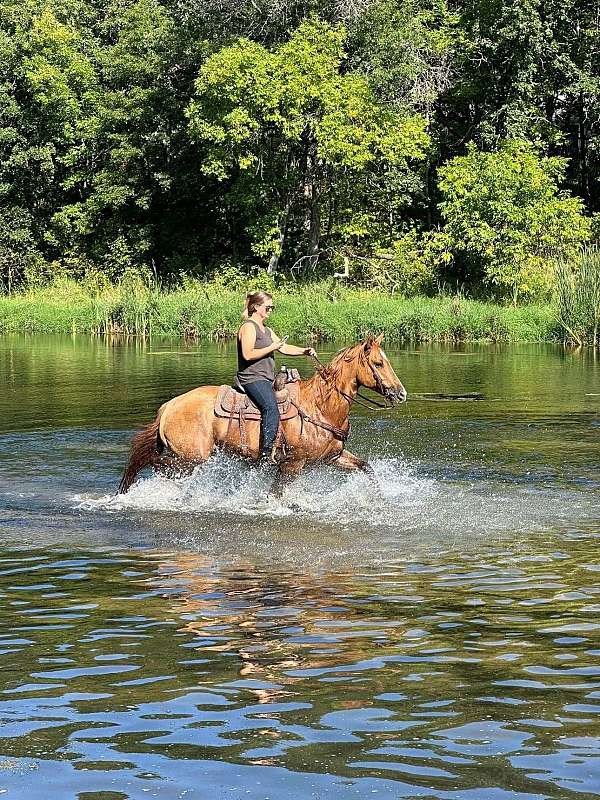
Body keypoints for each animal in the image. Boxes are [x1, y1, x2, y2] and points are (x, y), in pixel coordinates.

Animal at [118, 334, 407, 497]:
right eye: (378, 363)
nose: (401, 394)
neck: (320, 407)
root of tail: (168, 407)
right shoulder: (292, 465)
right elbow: (276, 494)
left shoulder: (332, 458)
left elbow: (367, 468)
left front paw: (379, 499)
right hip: (192, 458)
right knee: (158, 464)